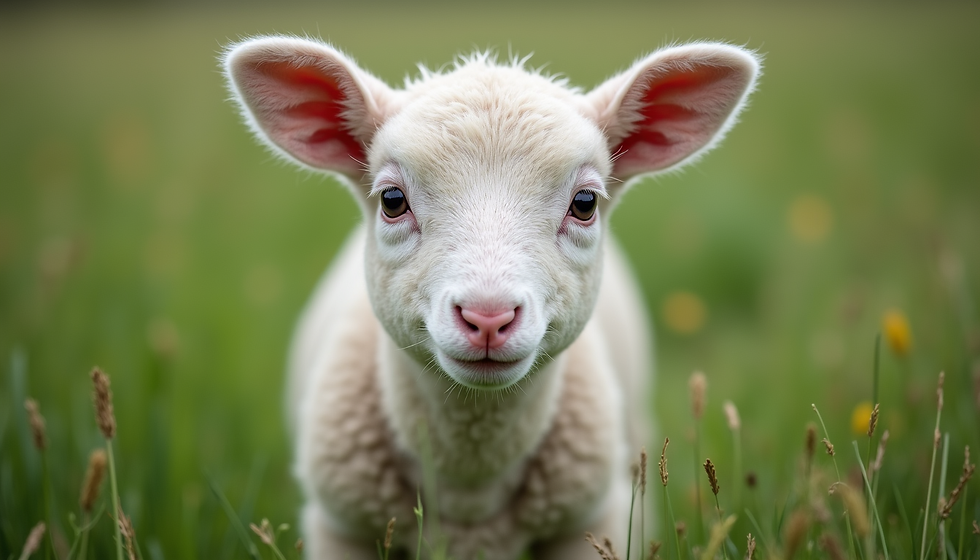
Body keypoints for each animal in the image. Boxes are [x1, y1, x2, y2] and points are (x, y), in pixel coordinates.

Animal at [224, 36, 759, 560]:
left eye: (585, 203)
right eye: (392, 201)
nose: (487, 318)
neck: (471, 471)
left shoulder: (591, 522)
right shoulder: (341, 528)